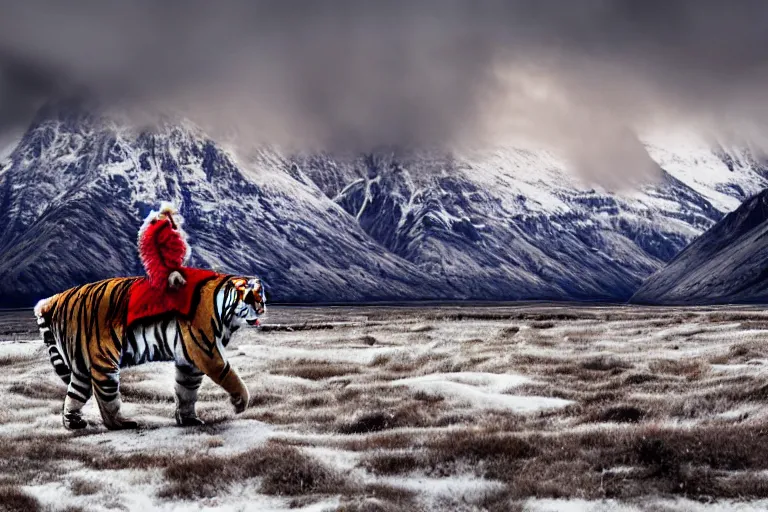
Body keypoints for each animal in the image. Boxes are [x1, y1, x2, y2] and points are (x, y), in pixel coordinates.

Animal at [34, 274, 266, 430]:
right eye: (249, 298)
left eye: (262, 298)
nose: (262, 309)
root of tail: (53, 300)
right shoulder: (206, 351)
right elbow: (231, 376)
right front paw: (240, 403)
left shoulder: (189, 361)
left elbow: (187, 390)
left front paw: (188, 419)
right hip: (103, 360)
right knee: (106, 399)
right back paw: (121, 423)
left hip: (81, 364)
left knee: (75, 393)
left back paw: (74, 423)